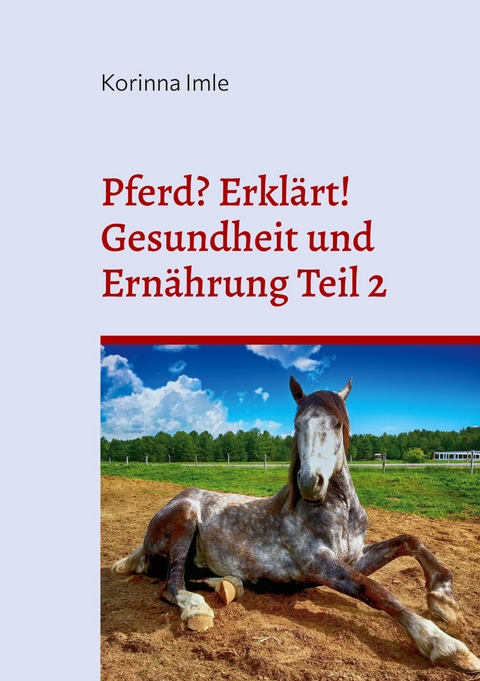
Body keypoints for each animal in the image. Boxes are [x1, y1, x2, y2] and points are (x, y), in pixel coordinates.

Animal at [112, 377, 480, 674]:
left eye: (337, 423)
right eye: (297, 424)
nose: (309, 483)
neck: (338, 511)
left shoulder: (354, 557)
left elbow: (410, 540)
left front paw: (444, 601)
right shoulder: (318, 564)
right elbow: (375, 589)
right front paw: (446, 646)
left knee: (193, 575)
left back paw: (230, 584)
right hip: (185, 520)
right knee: (171, 584)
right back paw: (197, 609)